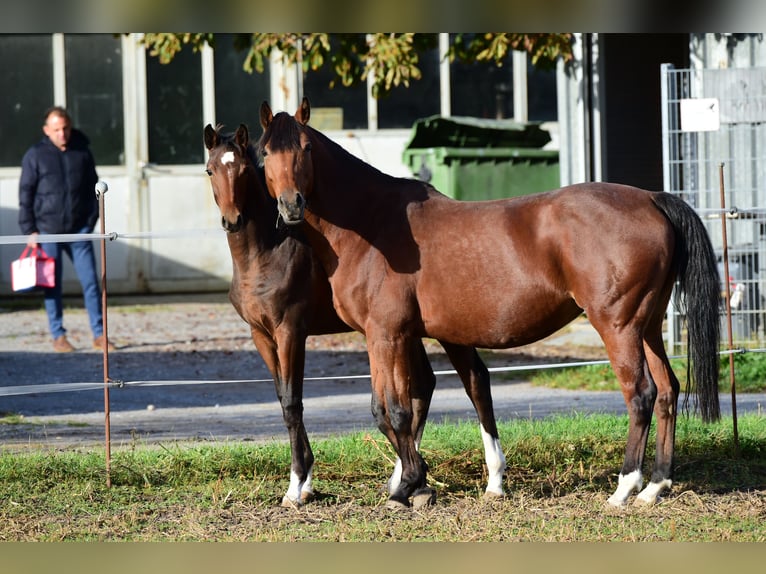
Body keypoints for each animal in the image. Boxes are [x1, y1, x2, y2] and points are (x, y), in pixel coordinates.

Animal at [204, 122, 508, 508]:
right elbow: (283, 398)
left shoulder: (291, 331)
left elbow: (293, 402)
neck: (269, 253)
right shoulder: (262, 336)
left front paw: (297, 486)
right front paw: (306, 483)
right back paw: (409, 481)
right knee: (425, 384)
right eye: (210, 170)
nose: (233, 220)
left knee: (474, 382)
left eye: (243, 169)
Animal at [260, 97, 724, 510]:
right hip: (648, 326)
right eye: (266, 153)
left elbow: (391, 410)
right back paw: (655, 487)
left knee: (641, 394)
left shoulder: (385, 335)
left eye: (305, 148)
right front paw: (412, 484)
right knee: (667, 392)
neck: (373, 225)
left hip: (618, 326)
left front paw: (408, 485)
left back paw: (624, 489)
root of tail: (651, 198)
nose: (291, 206)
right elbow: (405, 407)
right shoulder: (405, 335)